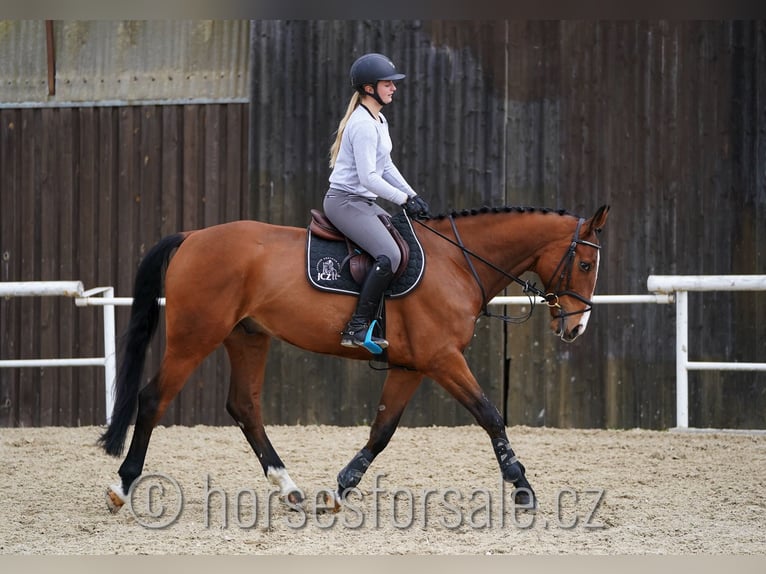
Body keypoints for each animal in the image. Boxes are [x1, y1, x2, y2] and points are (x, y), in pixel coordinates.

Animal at [100, 205, 612, 516]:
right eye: (586, 265)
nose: (576, 328)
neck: (456, 262)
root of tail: (192, 237)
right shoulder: (443, 359)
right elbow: (490, 415)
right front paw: (522, 487)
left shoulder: (411, 366)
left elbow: (382, 430)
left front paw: (341, 488)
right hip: (194, 338)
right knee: (153, 399)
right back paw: (122, 487)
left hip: (247, 338)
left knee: (244, 407)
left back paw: (290, 488)